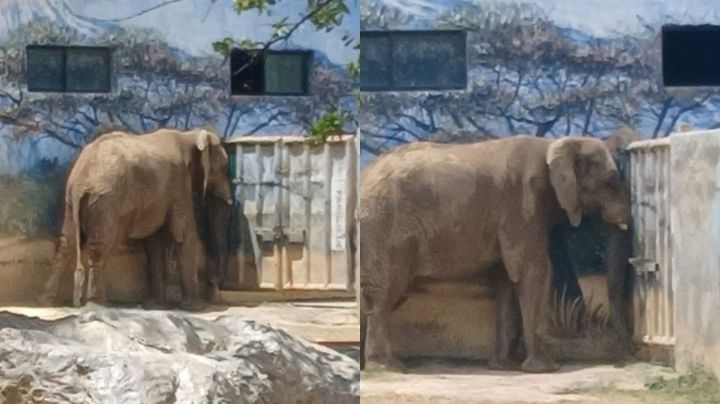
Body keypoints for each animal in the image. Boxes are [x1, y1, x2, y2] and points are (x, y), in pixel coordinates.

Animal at [36, 128, 232, 309]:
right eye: (223, 167)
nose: (215, 286)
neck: (189, 135)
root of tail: (81, 179)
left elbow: (155, 242)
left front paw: (154, 305)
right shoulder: (179, 183)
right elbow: (183, 235)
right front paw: (196, 307)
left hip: (72, 200)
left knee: (66, 243)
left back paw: (47, 301)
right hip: (105, 198)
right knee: (101, 246)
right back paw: (98, 303)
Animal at [359, 135, 630, 373]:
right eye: (610, 181)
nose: (623, 357)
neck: (555, 143)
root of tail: (365, 174)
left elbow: (506, 279)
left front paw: (504, 366)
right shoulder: (524, 204)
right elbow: (534, 271)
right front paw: (546, 370)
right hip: (386, 230)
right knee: (386, 293)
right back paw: (387, 367)